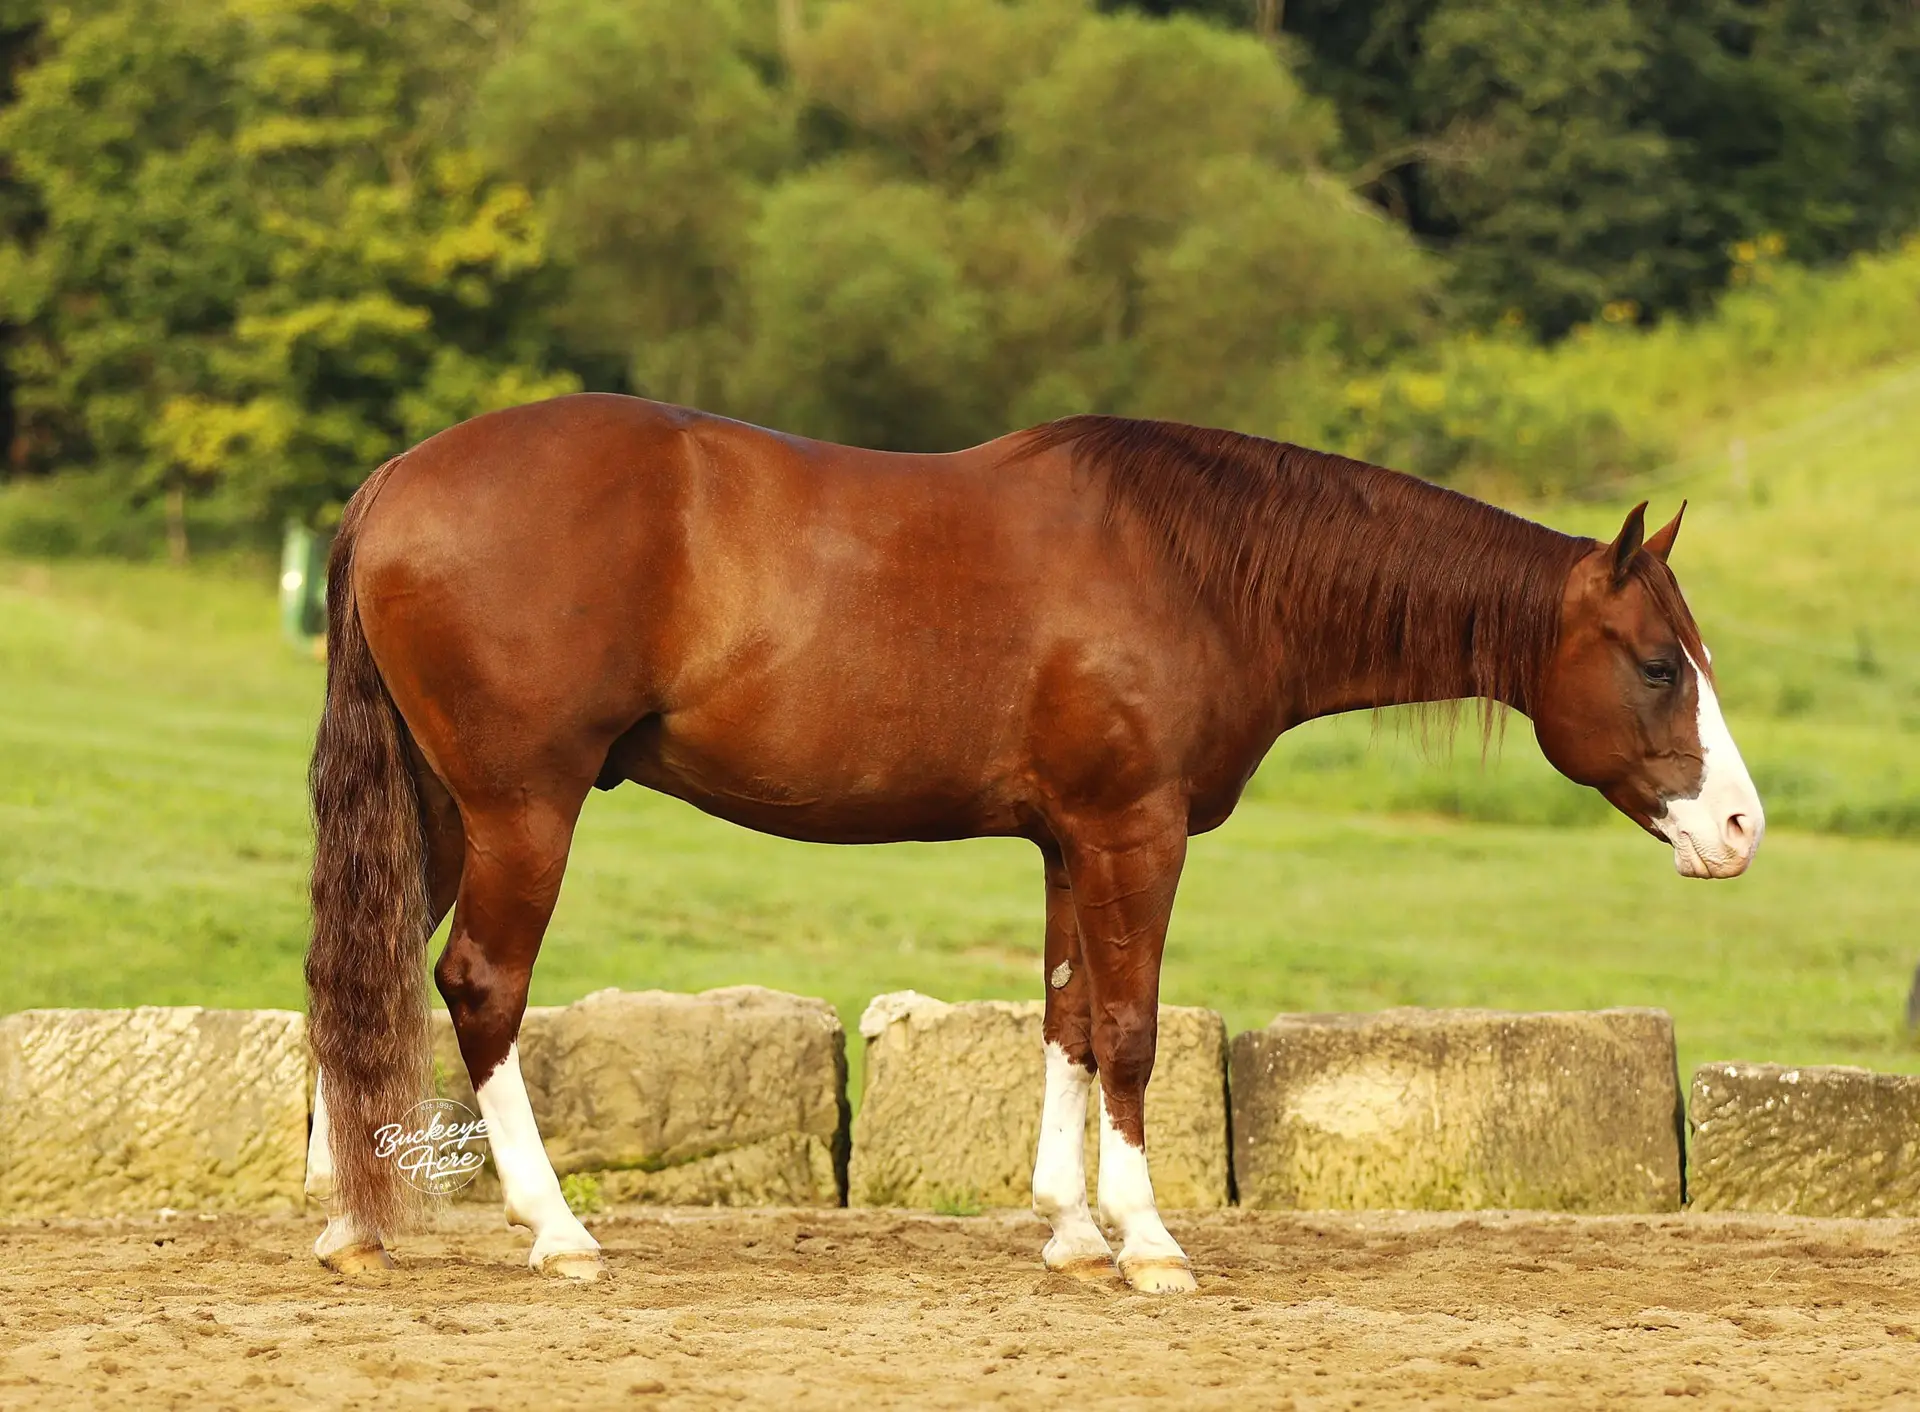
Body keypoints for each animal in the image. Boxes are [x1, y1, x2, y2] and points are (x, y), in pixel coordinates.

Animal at [302, 395, 1763, 1293]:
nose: (1741, 827)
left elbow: (1064, 1019)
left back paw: (351, 1220)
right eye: (1654, 665)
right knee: (476, 987)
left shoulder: (1071, 842)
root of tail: (395, 480)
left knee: (352, 980)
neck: (1198, 571)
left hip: (439, 808)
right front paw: (1152, 1241)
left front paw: (1069, 1231)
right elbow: (1129, 1030)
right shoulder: (1136, 834)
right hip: (523, 809)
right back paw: (555, 1230)